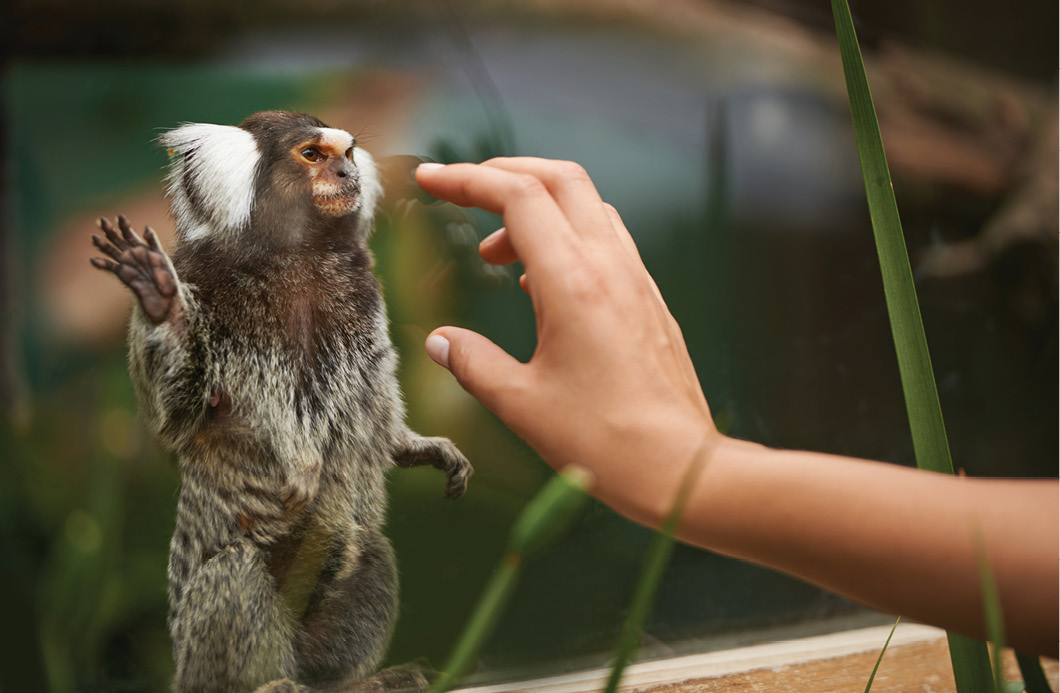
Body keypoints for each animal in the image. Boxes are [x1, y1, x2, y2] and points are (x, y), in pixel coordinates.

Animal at [91, 111, 472, 690]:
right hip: (203, 648)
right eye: (312, 155)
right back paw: (266, 683)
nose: (346, 174)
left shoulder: (366, 306)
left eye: (348, 155)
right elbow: (174, 416)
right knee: (237, 571)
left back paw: (352, 681)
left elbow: (376, 409)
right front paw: (159, 299)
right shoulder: (204, 284)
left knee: (369, 551)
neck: (298, 255)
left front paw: (419, 446)